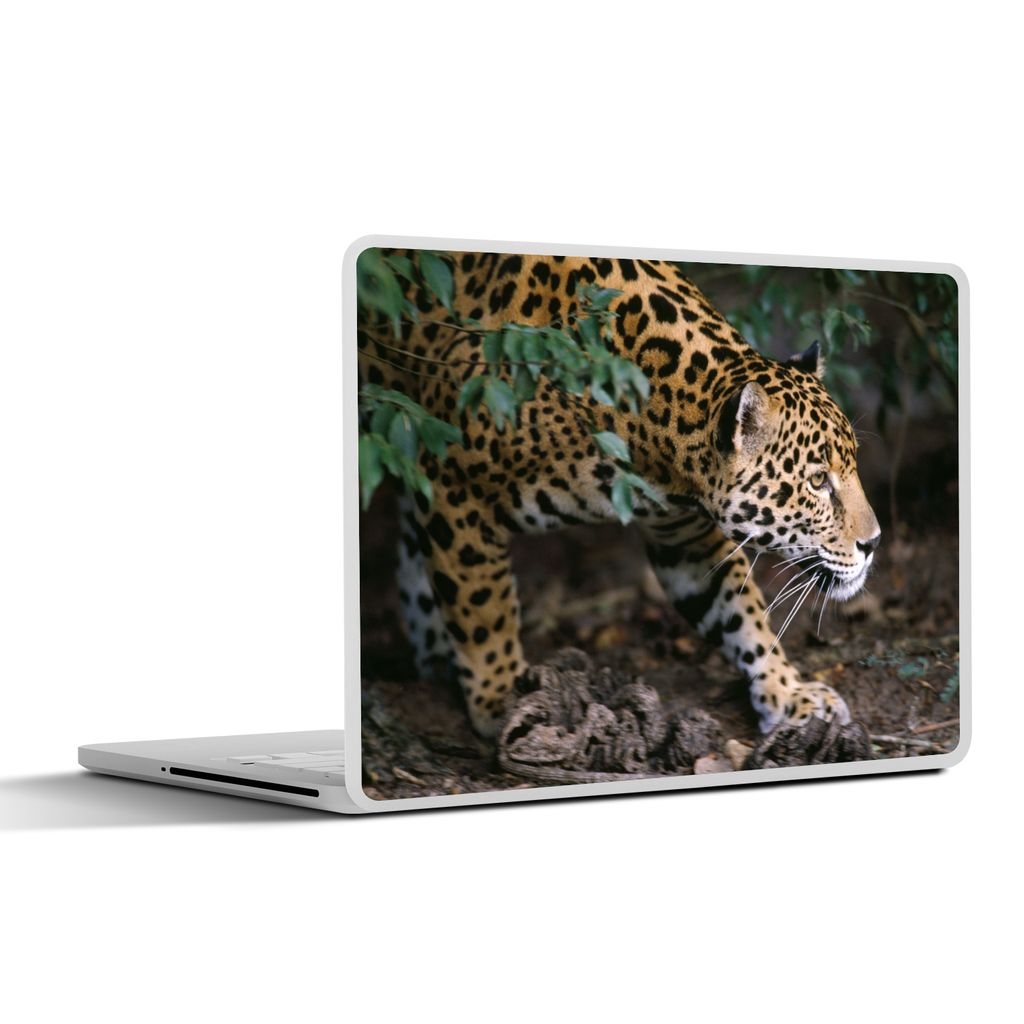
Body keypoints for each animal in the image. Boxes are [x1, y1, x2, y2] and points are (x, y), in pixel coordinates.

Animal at [357, 249, 881, 738]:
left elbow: (740, 611)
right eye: (817, 481)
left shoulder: (684, 536)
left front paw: (788, 692)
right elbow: (484, 607)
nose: (874, 542)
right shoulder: (455, 486)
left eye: (851, 463)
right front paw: (501, 697)